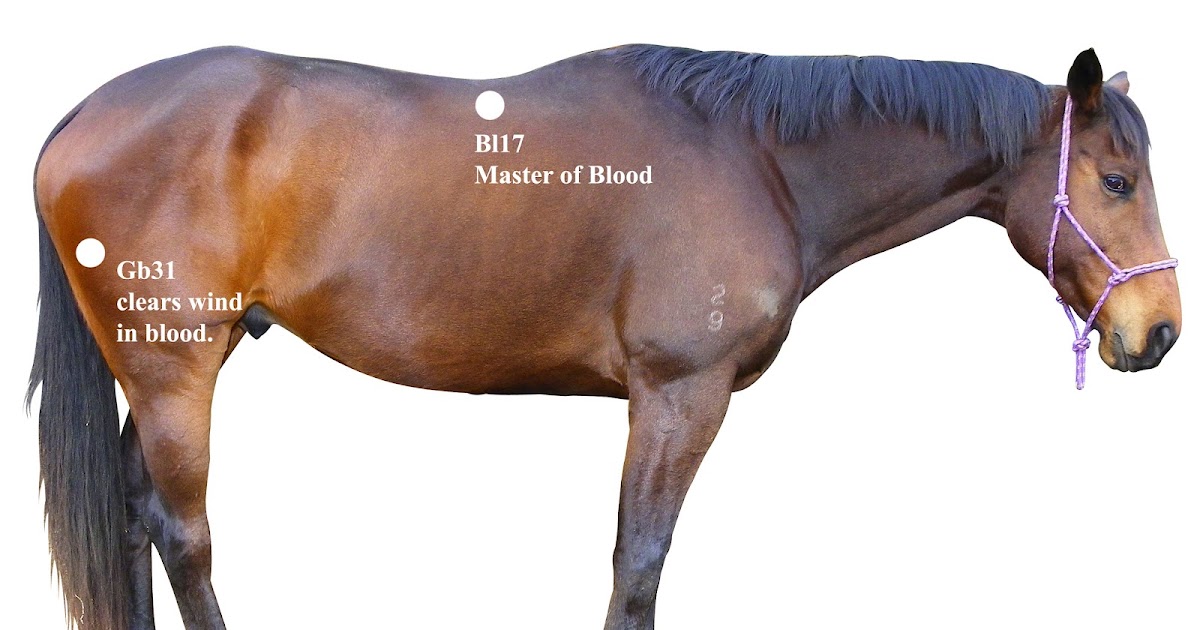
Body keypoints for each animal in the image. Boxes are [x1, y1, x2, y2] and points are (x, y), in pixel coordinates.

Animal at [27, 44, 1180, 629]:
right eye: (1117, 182)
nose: (1160, 330)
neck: (755, 155)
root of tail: (81, 111)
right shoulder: (679, 393)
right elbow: (640, 558)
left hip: (167, 370)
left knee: (128, 517)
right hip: (175, 373)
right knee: (182, 532)